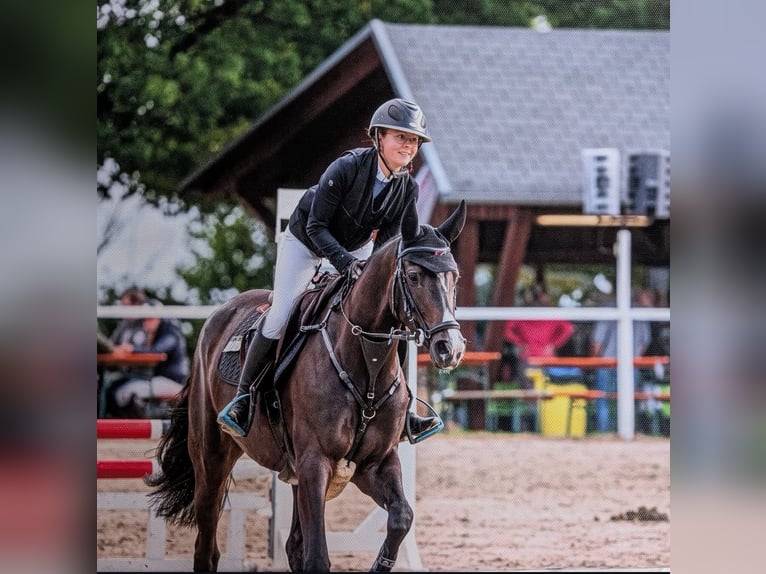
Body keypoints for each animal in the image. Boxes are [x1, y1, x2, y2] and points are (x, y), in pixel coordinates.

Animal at [145, 200, 467, 572]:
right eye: (414, 277)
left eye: (454, 278)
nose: (450, 348)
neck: (366, 367)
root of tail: (218, 315)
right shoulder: (316, 461)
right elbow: (317, 558)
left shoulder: (375, 463)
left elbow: (402, 516)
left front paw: (380, 564)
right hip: (211, 458)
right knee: (206, 544)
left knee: (291, 545)